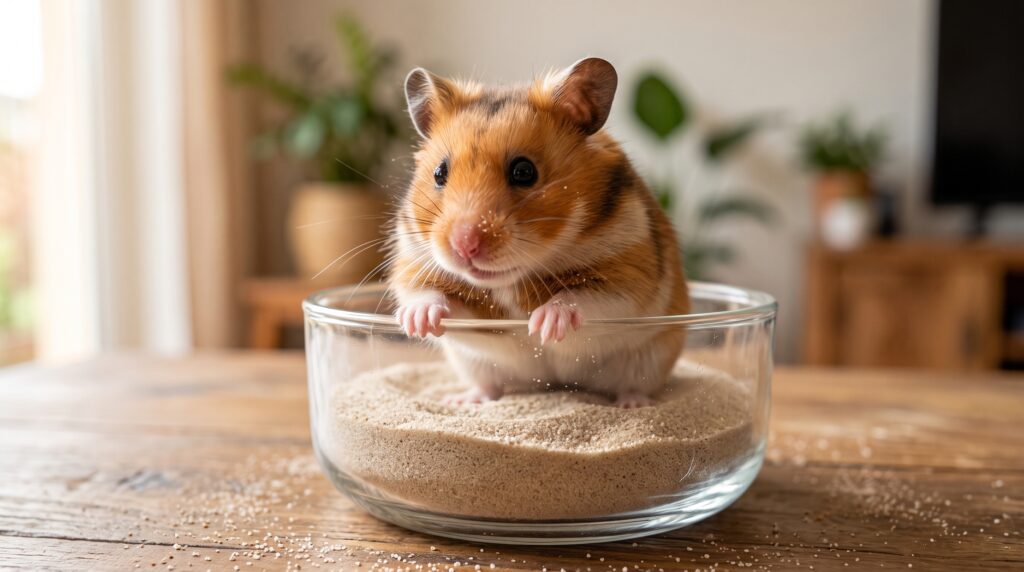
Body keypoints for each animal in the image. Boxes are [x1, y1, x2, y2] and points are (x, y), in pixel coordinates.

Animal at [388, 57, 689, 408]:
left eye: (524, 171)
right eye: (439, 173)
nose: (464, 247)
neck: (512, 279)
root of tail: (555, 384)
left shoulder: (628, 273)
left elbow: (581, 297)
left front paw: (544, 326)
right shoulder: (414, 263)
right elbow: (425, 294)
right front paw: (416, 323)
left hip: (650, 359)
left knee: (633, 386)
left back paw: (633, 404)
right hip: (475, 365)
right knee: (489, 386)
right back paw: (462, 400)